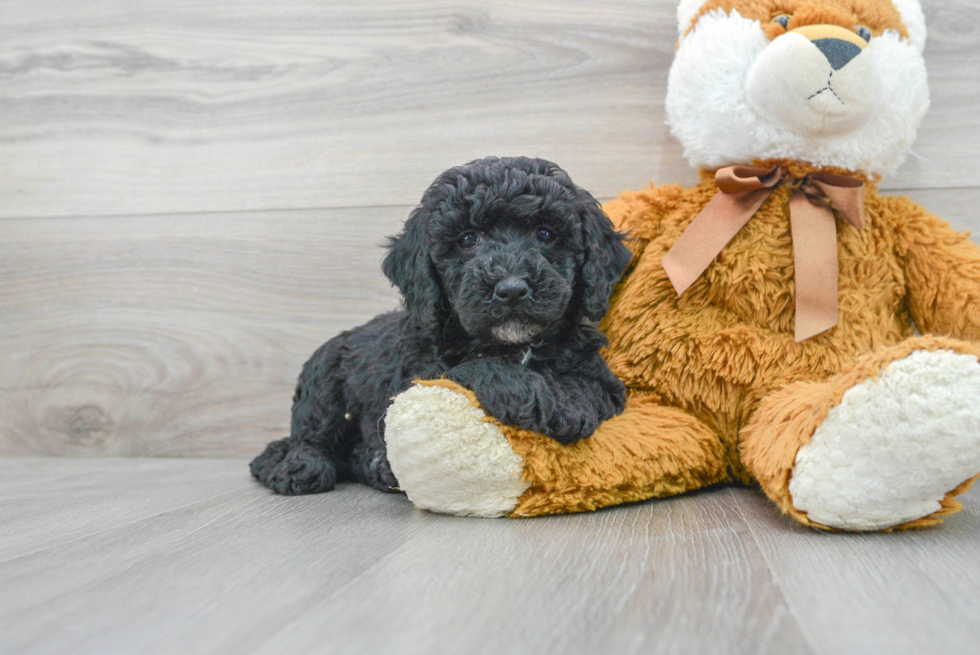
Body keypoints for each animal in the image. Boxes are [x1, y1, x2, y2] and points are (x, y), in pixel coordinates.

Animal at [249, 158, 632, 498]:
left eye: (545, 233)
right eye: (468, 239)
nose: (511, 289)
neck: (512, 345)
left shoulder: (604, 380)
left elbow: (588, 386)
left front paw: (568, 404)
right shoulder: (418, 373)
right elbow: (474, 366)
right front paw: (531, 394)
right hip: (323, 375)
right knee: (310, 436)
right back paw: (302, 468)